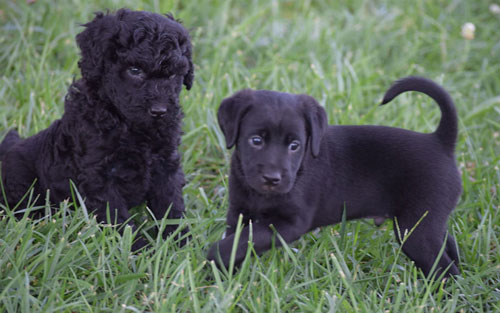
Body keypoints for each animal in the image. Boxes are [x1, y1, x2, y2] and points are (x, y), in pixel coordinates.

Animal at [0, 8, 194, 250]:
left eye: (173, 75)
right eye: (134, 70)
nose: (160, 111)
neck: (130, 126)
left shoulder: (166, 164)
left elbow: (171, 204)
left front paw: (180, 242)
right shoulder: (98, 175)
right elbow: (117, 216)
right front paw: (135, 248)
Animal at [207, 77, 460, 276]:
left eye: (294, 145)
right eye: (256, 140)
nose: (272, 178)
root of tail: (440, 141)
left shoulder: (290, 223)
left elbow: (245, 239)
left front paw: (215, 256)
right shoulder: (239, 212)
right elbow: (239, 238)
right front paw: (226, 275)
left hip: (416, 230)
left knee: (444, 268)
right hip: (427, 224)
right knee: (449, 246)